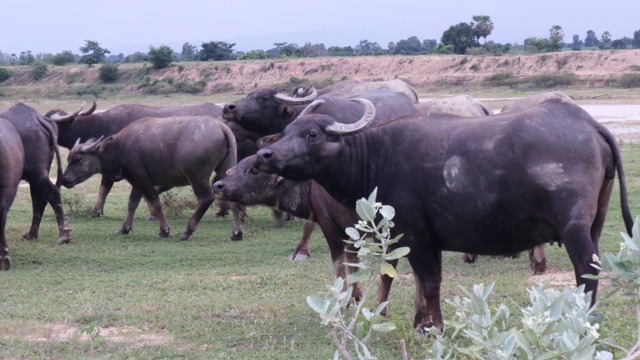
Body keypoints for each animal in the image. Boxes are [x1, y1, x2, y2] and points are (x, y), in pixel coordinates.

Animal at [0, 102, 76, 246]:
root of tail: (36, 116)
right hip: (36, 175)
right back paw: (32, 234)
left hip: (36, 173)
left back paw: (64, 235)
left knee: (51, 193)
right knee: (39, 199)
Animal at [62, 116, 242, 240]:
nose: (64, 179)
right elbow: (132, 204)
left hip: (197, 176)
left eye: (78, 159)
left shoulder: (144, 179)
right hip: (226, 169)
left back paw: (188, 231)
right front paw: (124, 228)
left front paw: (164, 230)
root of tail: (220, 126)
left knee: (206, 198)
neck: (120, 147)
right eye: (68, 159)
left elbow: (156, 202)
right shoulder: (136, 181)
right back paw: (237, 232)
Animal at [256, 96, 636, 332]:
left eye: (312, 134)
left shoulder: (413, 233)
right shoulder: (428, 238)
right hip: (597, 222)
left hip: (574, 228)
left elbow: (430, 281)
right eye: (286, 132)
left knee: (586, 270)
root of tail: (588, 124)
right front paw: (422, 321)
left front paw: (433, 327)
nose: (264, 155)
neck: (376, 155)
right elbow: (425, 281)